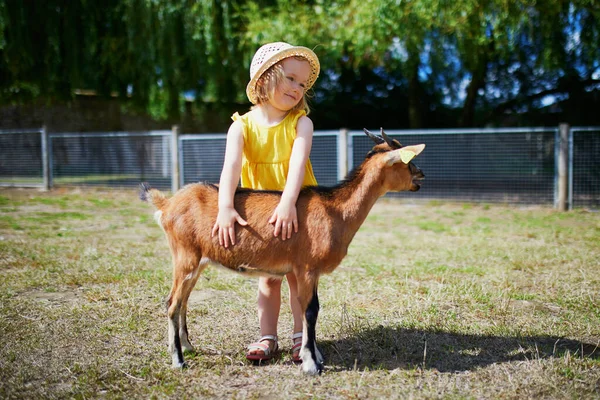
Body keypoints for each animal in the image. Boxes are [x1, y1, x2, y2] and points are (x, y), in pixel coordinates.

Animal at [139, 129, 426, 376]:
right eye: (407, 161)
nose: (421, 175)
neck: (335, 210)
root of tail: (167, 204)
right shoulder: (307, 267)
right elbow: (311, 310)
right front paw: (311, 365)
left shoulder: (307, 271)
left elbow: (306, 309)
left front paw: (315, 356)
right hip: (185, 256)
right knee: (173, 302)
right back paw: (178, 360)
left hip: (198, 262)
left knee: (181, 301)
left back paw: (187, 347)